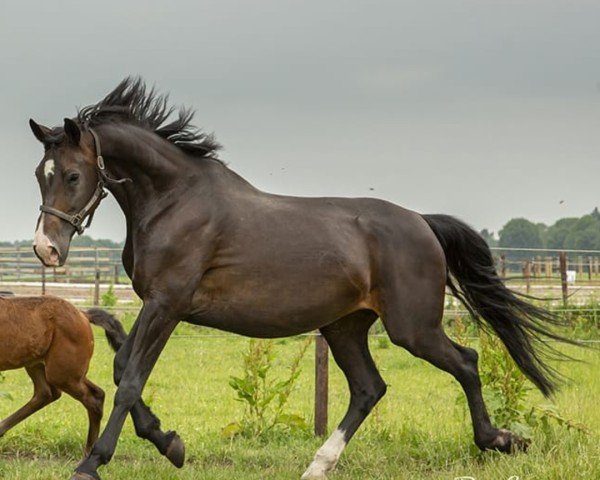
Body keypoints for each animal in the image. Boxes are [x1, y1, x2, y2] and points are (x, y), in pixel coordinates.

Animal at [29, 77, 572, 478]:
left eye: (73, 175)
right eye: (41, 174)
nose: (45, 249)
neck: (173, 200)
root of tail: (422, 222)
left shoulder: (168, 304)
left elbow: (130, 380)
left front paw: (92, 464)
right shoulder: (155, 303)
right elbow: (124, 368)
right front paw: (170, 443)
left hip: (412, 328)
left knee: (465, 362)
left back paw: (499, 440)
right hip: (345, 326)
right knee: (370, 388)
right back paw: (319, 464)